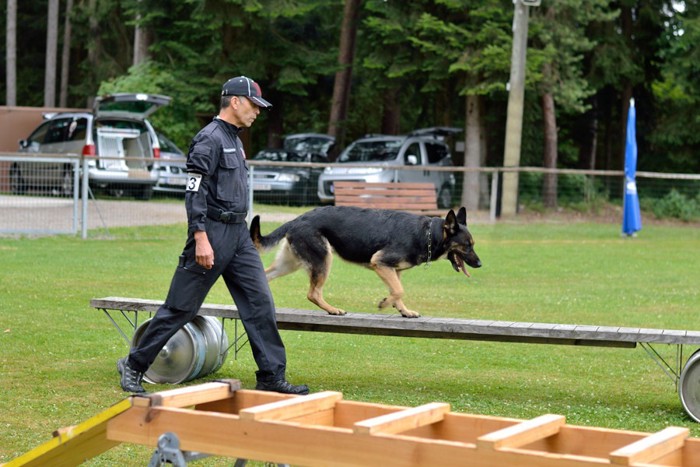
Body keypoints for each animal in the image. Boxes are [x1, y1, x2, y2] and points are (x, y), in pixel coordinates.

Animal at [250, 207, 482, 320]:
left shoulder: (393, 269)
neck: (428, 234)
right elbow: (399, 290)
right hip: (324, 259)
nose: (480, 264)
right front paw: (385, 303)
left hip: (289, 264)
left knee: (265, 274)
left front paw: (404, 311)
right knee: (313, 293)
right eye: (467, 246)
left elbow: (398, 291)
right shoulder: (380, 262)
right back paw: (333, 309)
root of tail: (297, 220)